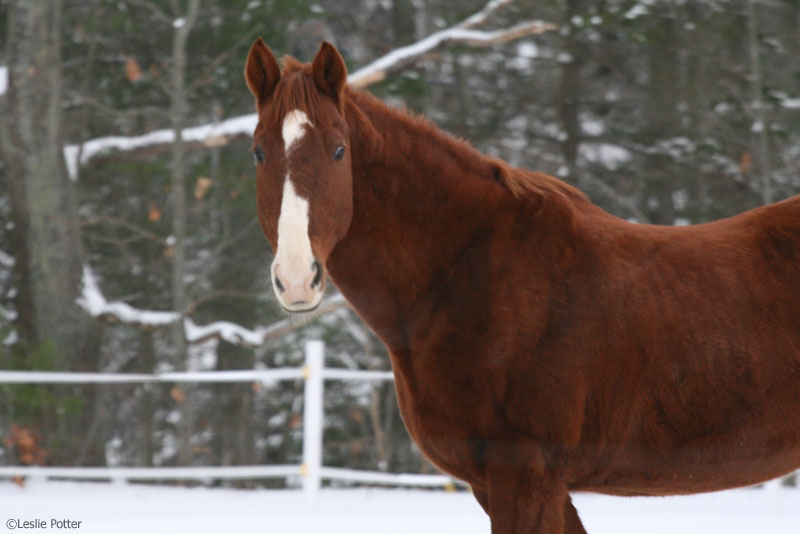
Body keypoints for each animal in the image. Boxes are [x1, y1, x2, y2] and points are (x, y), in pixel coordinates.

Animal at [244, 39, 800, 532]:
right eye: (258, 153)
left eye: (339, 150)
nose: (297, 276)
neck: (468, 271)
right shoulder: (502, 483)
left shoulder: (526, 473)